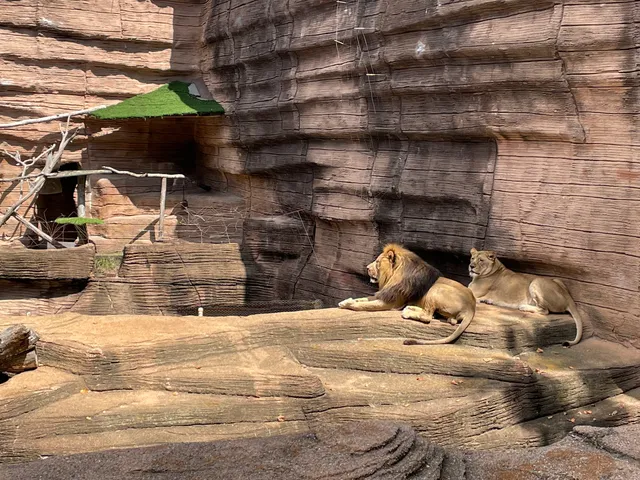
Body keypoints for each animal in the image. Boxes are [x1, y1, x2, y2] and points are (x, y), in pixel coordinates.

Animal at [338, 243, 477, 345]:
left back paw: (407, 312)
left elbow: (364, 305)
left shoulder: (391, 302)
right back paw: (410, 308)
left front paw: (348, 304)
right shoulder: (384, 294)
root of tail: (472, 307)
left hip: (436, 289)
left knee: (428, 317)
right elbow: (362, 299)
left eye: (377, 262)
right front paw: (346, 301)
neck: (392, 277)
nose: (366, 267)